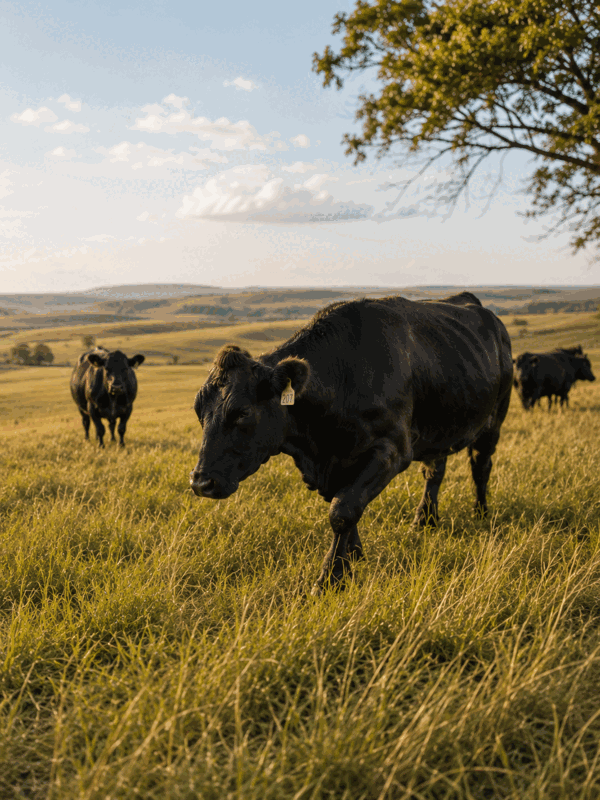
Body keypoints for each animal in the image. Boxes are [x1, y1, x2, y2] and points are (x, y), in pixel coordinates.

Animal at [189, 292, 512, 595]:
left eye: (242, 412)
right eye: (198, 410)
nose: (201, 482)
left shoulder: (391, 451)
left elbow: (342, 510)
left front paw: (330, 578)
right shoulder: (334, 462)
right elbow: (344, 501)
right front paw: (353, 556)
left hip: (493, 422)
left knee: (480, 466)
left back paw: (481, 512)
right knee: (434, 472)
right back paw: (425, 520)